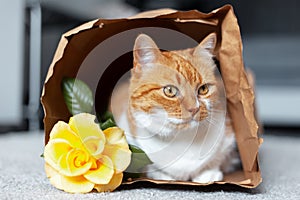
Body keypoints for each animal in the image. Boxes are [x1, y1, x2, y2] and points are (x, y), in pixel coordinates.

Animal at [110, 32, 237, 183]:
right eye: (170, 90)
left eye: (203, 89)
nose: (194, 108)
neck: (182, 138)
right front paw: (161, 175)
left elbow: (217, 160)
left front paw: (208, 173)